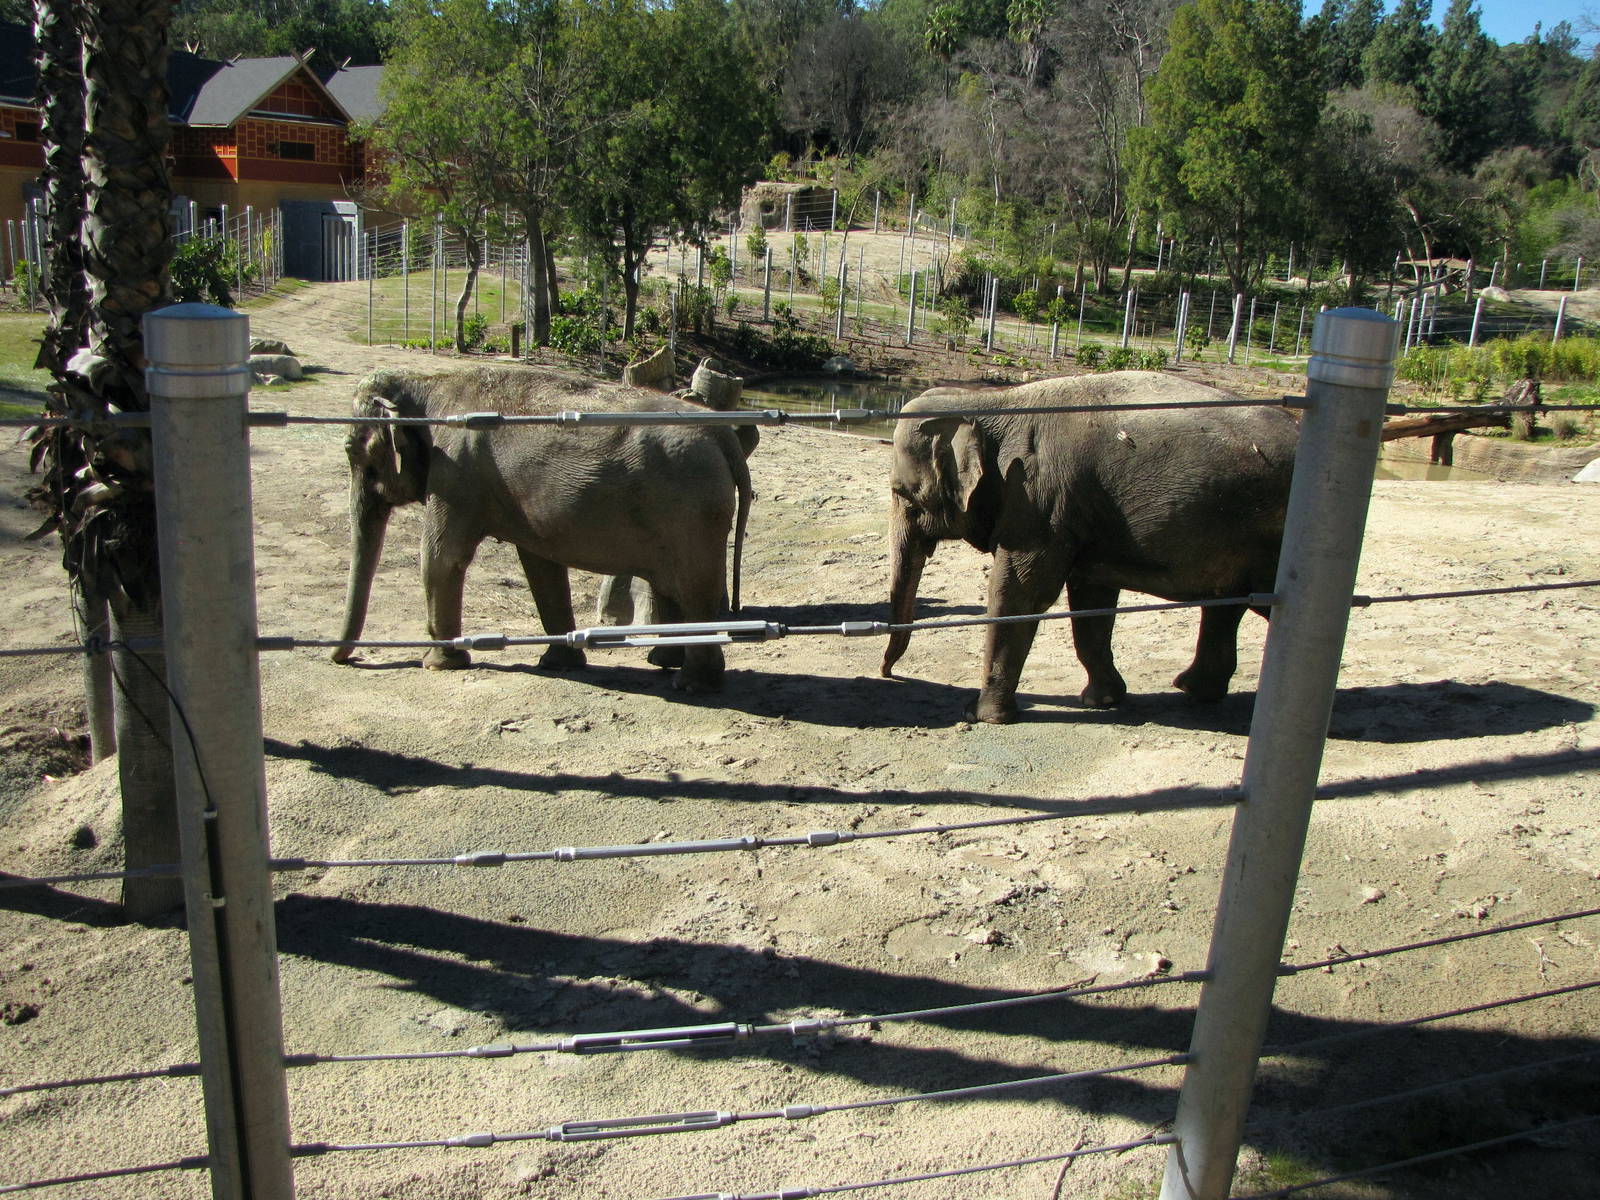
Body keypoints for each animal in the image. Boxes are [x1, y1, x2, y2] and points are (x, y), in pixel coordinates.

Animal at [332, 366, 754, 693]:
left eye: (353, 450)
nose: (343, 660)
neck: (427, 383)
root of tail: (724, 436)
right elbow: (540, 565)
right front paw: (557, 663)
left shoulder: (455, 471)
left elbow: (441, 557)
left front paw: (437, 664)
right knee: (669, 584)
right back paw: (661, 661)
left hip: (692, 510)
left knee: (694, 589)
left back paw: (690, 684)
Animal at [881, 371, 1299, 724]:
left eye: (902, 494)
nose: (888, 674)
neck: (992, 402)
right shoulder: (1081, 513)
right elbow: (1090, 598)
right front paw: (1102, 701)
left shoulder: (1039, 497)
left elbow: (1021, 592)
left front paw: (980, 715)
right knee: (1225, 606)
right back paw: (1193, 690)